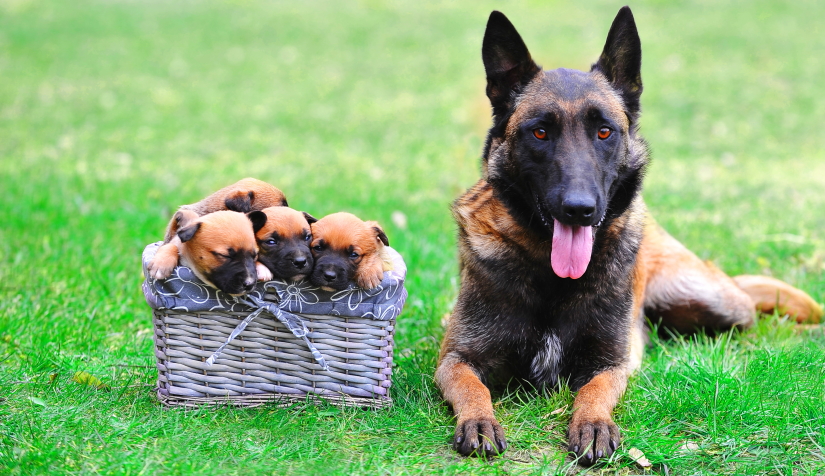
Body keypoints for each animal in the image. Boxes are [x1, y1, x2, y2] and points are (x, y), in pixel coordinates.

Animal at [434, 6, 820, 464]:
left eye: (604, 132)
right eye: (540, 132)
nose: (579, 209)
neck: (553, 279)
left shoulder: (611, 362)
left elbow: (595, 391)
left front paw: (594, 424)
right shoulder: (455, 358)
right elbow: (472, 387)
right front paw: (479, 419)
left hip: (717, 306)